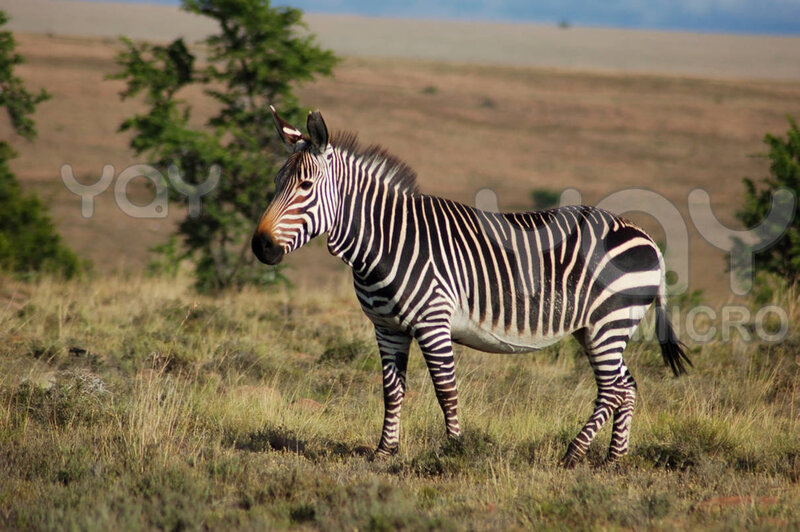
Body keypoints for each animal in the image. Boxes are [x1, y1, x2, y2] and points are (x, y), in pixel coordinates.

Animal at [252, 107, 691, 467]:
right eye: (276, 182)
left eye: (305, 186)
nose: (260, 246)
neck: (386, 242)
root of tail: (645, 237)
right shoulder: (386, 327)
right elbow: (392, 390)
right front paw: (384, 451)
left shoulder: (433, 322)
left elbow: (446, 389)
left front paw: (454, 449)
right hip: (597, 328)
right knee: (627, 387)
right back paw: (614, 458)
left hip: (608, 322)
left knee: (613, 389)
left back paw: (574, 452)